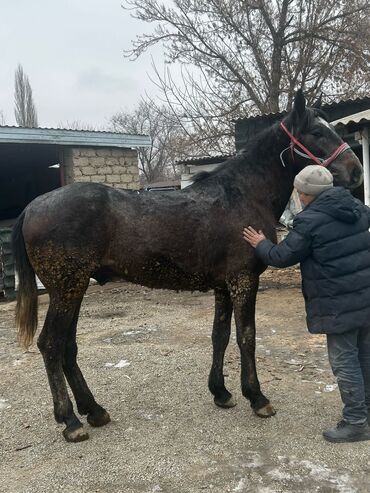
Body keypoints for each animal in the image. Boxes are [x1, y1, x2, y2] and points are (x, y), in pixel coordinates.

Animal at [11, 91, 362, 442]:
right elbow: (246, 337)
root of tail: (33, 206)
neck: (242, 195)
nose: (356, 172)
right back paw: (70, 421)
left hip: (75, 289)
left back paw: (94, 411)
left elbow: (220, 336)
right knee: (51, 344)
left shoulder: (224, 286)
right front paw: (257, 397)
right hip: (67, 290)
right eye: (316, 133)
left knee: (68, 347)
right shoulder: (244, 281)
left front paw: (221, 393)